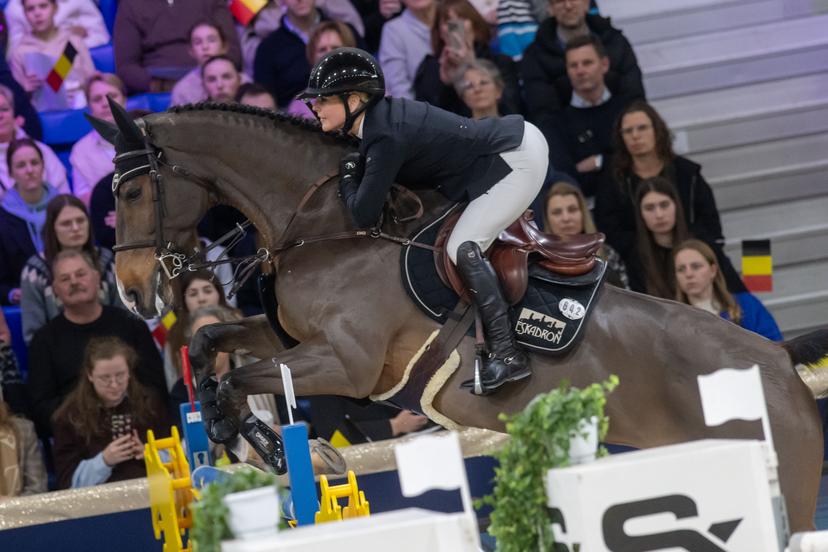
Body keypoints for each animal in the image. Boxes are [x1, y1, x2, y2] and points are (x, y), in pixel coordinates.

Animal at [90, 101, 827, 531]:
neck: (327, 225)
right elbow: (214, 343)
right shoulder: (287, 336)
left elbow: (237, 375)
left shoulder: (348, 365)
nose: (131, 295)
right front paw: (245, 436)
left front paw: (274, 445)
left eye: (131, 192)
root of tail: (778, 358)